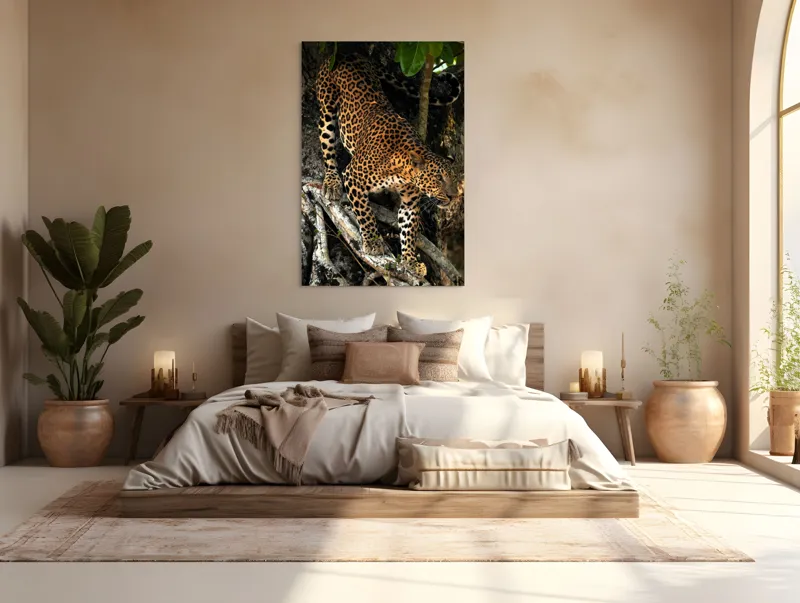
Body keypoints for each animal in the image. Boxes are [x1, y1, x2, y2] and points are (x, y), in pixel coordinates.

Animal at [315, 54, 462, 278]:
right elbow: (365, 213)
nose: (454, 196)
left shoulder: (410, 201)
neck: (402, 170)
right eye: (439, 178)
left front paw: (410, 261)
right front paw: (372, 243)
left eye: (456, 179)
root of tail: (350, 54)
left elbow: (408, 231)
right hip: (327, 108)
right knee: (327, 146)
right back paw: (331, 183)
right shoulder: (353, 177)